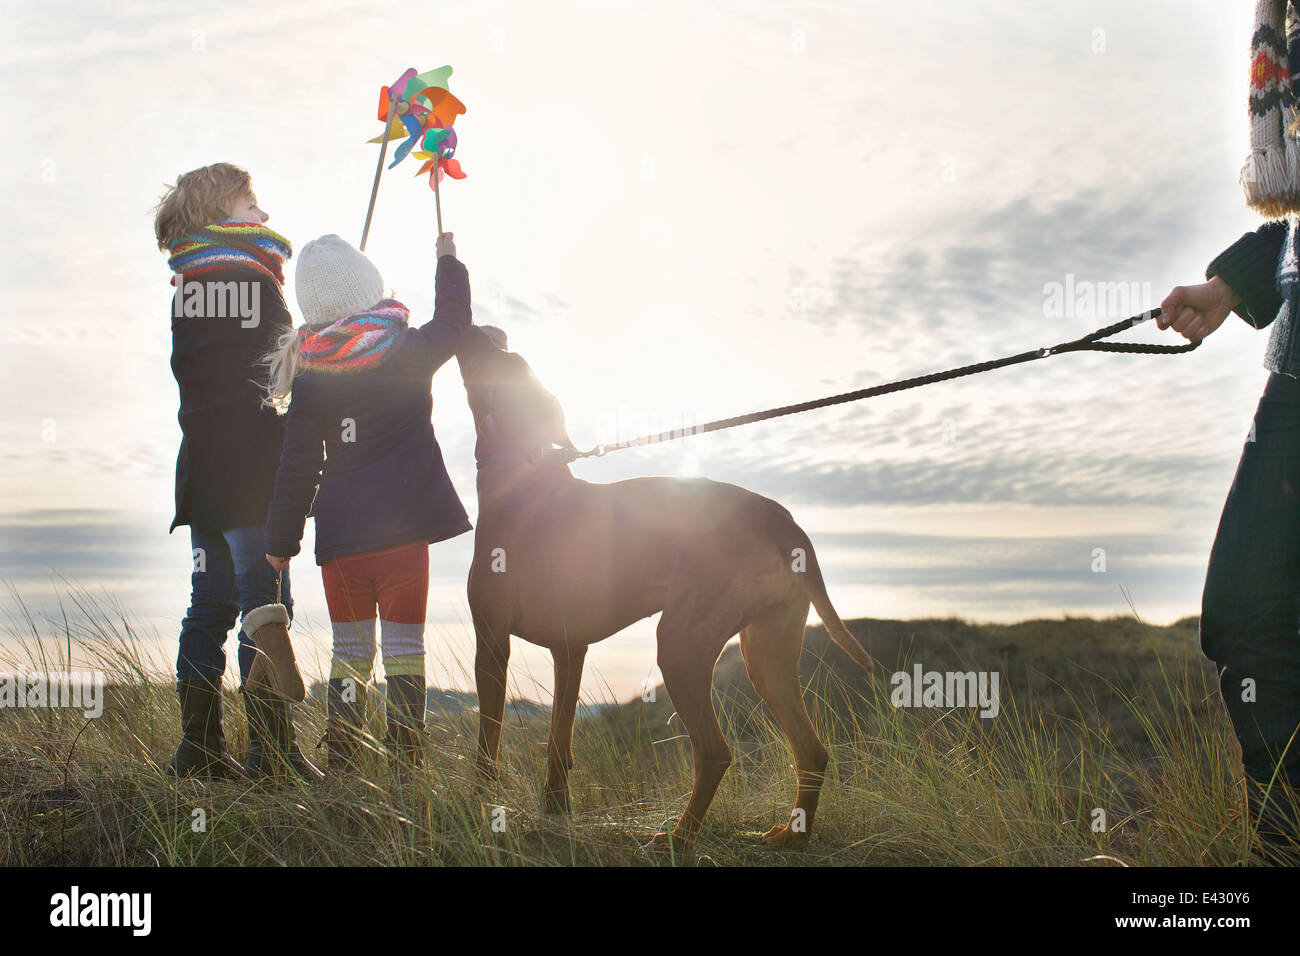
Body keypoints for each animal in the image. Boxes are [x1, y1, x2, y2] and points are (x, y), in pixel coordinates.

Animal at [457, 325, 873, 858]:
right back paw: (790, 835)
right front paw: (555, 810)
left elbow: (488, 742)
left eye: (496, 356)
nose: (485, 329)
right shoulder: (571, 650)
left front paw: (481, 804)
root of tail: (779, 517)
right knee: (812, 751)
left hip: (681, 644)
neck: (523, 476)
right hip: (767, 653)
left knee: (715, 752)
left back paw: (680, 836)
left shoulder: (492, 642)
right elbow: (558, 743)